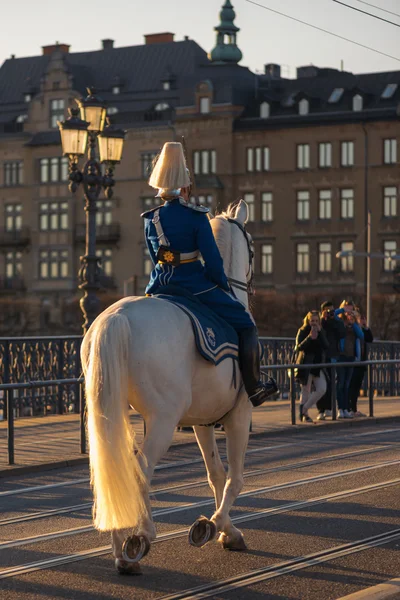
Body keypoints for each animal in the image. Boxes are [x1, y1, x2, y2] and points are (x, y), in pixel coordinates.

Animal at [82, 200, 253, 572]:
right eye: (252, 247)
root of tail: (116, 317)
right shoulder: (239, 415)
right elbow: (235, 477)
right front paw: (214, 525)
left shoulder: (203, 421)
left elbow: (216, 473)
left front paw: (226, 531)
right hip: (162, 419)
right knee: (139, 470)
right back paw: (138, 539)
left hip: (113, 413)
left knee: (118, 471)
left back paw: (122, 549)